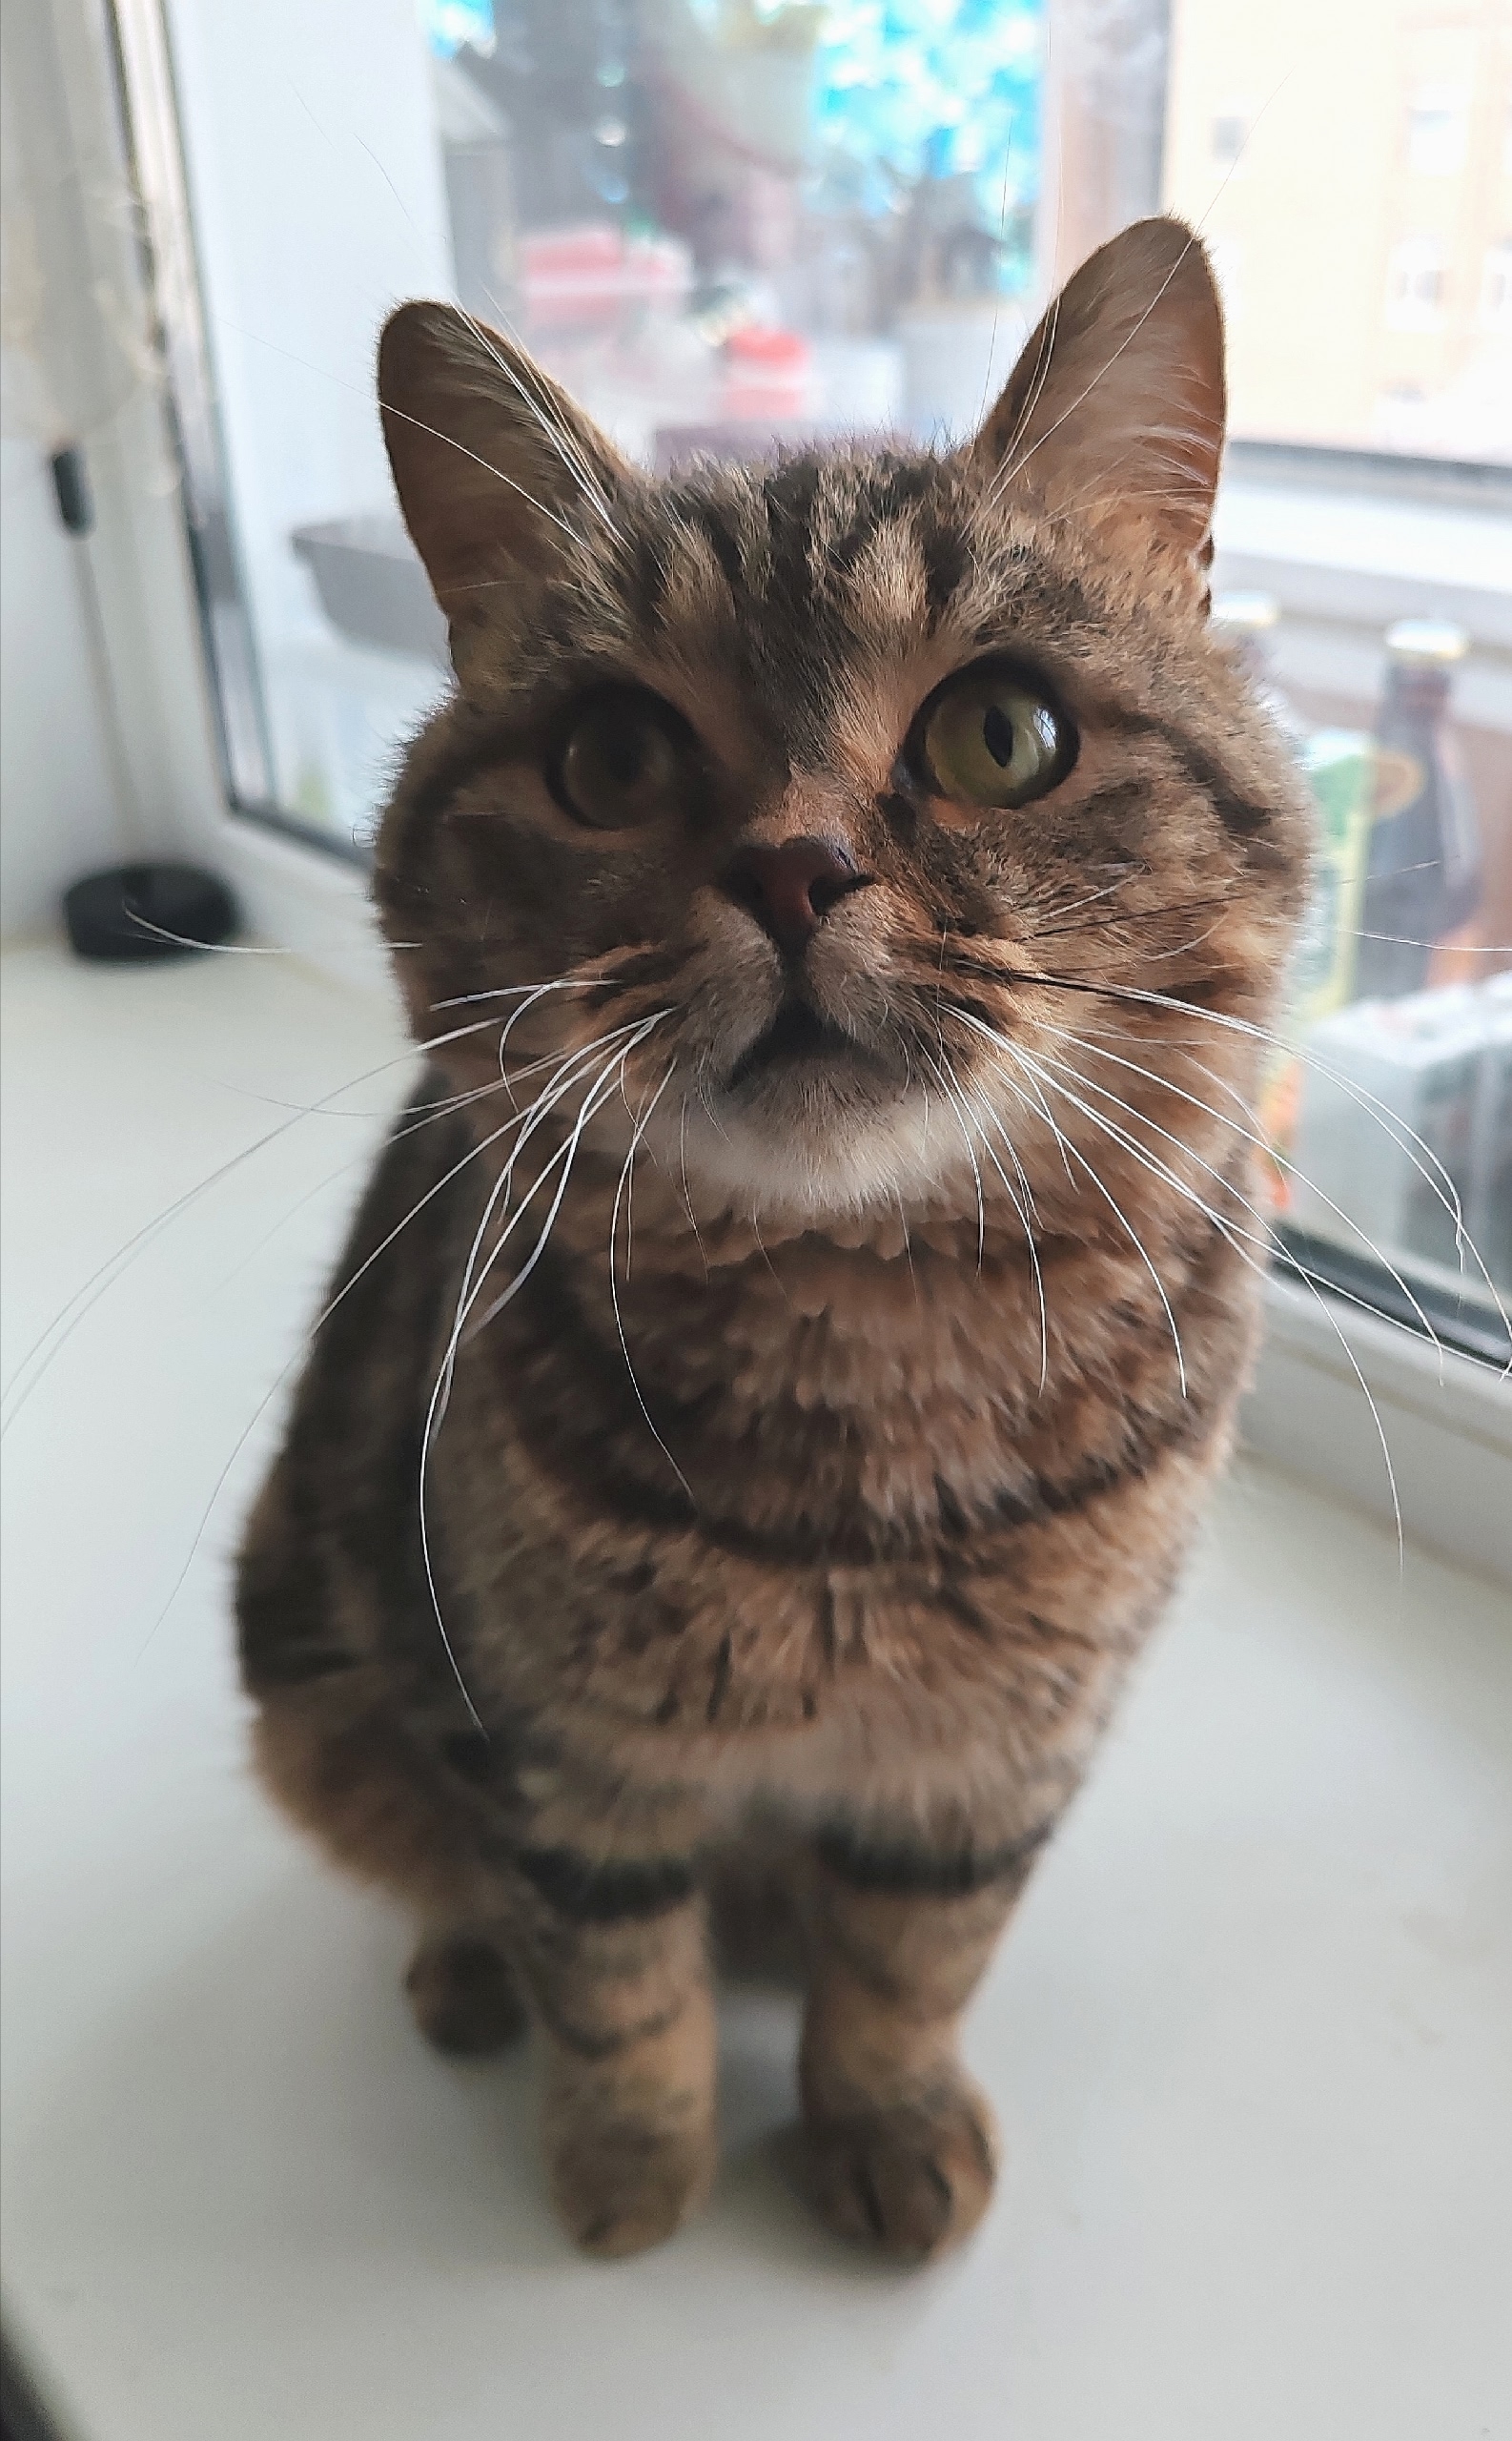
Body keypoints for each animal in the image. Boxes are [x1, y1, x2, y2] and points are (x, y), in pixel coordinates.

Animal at [236, 215, 1309, 2262]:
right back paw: (464, 1975)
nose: (795, 871)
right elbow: (610, 1973)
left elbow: (911, 1963)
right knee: (438, 1871)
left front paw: (877, 2121)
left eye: (1003, 735)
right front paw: (630, 2163)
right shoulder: (549, 1749)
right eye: (607, 758)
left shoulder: (996, 1763)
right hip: (308, 1670)